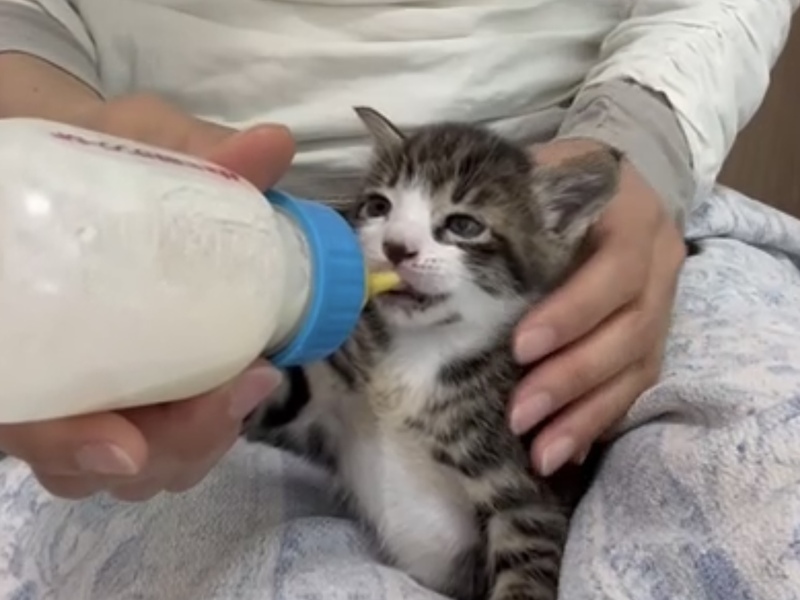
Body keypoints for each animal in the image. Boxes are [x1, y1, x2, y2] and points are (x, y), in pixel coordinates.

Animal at [244, 106, 623, 600]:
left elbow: (525, 571)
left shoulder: (526, 497)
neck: (419, 354)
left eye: (463, 226)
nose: (395, 247)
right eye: (379, 207)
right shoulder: (325, 409)